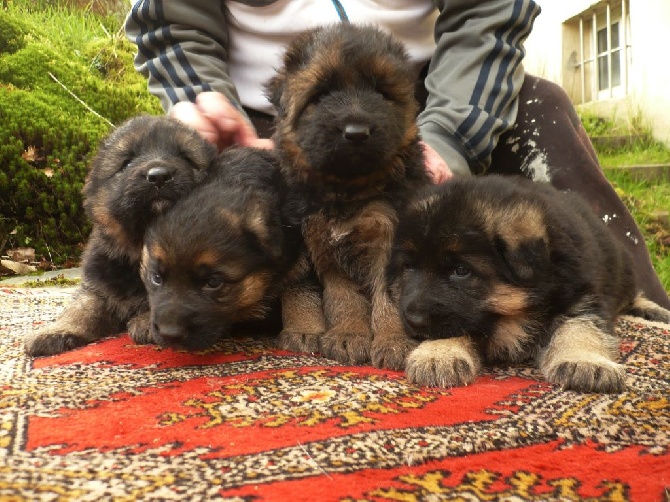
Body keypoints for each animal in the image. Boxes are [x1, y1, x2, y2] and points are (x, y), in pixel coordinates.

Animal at [25, 114, 215, 356]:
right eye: (127, 162)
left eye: (186, 158)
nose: (159, 176)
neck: (139, 247)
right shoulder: (97, 287)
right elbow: (80, 308)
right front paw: (57, 330)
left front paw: (146, 322)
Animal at [266, 23, 430, 366]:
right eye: (321, 94)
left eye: (381, 93)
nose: (356, 133)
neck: (347, 192)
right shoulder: (311, 243)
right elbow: (334, 297)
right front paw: (341, 335)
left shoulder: (389, 243)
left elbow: (388, 300)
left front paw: (393, 342)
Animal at [388, 175, 670, 394]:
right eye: (408, 267)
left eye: (461, 271)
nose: (412, 319)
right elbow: (459, 324)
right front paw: (439, 352)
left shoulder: (583, 296)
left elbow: (582, 328)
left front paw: (585, 361)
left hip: (624, 271)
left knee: (633, 295)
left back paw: (653, 310)